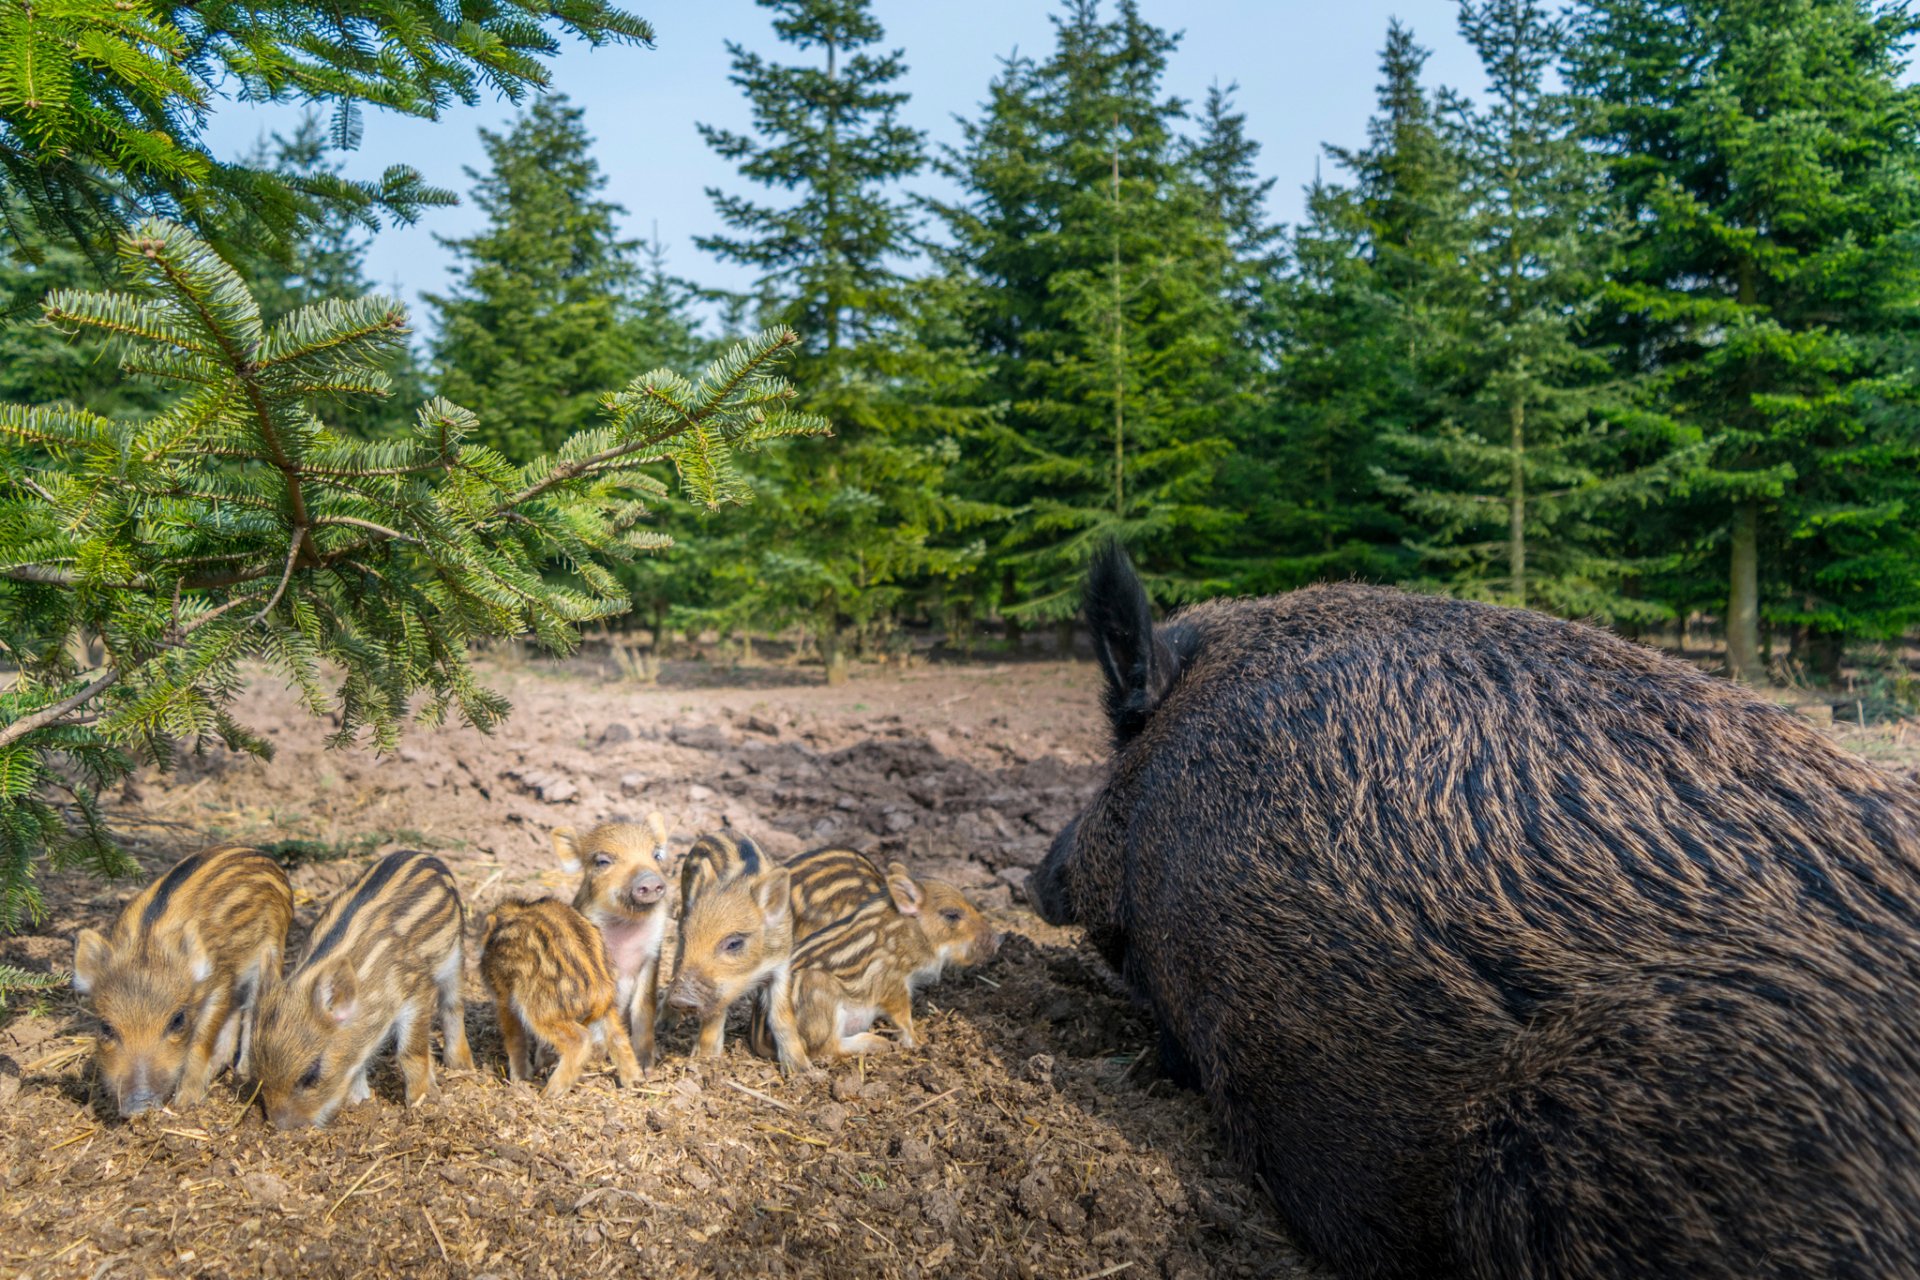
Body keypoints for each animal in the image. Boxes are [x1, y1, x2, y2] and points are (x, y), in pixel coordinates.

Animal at [71, 844, 293, 1116]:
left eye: (177, 1021)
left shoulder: (219, 982)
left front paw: (187, 1102)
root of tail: (261, 854)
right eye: (105, 1027)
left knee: (252, 1008)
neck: (148, 942)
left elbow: (201, 1039)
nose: (139, 1106)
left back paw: (243, 1073)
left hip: (272, 950)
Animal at [254, 850, 474, 1128]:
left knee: (453, 1006)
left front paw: (421, 1101)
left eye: (310, 1075)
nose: (281, 1127)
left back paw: (461, 1064)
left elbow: (410, 1052)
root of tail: (424, 855)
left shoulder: (416, 992)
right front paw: (360, 1103)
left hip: (454, 954)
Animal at [479, 897, 643, 1096]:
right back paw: (635, 1081)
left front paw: (520, 1079)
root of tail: (602, 989)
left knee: (578, 1039)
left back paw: (550, 1092)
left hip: (540, 1006)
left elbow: (514, 1035)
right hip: (608, 1007)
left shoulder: (503, 992)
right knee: (618, 1035)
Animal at [553, 813, 676, 1070]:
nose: (650, 879)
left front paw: (647, 1067)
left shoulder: (652, 955)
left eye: (656, 855)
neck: (626, 927)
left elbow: (644, 1007)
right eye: (602, 861)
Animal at [666, 832, 809, 1071]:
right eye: (688, 937)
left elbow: (782, 1015)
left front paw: (802, 1069)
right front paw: (705, 1058)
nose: (681, 999)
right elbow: (715, 1012)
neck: (752, 970)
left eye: (734, 943)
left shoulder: (781, 965)